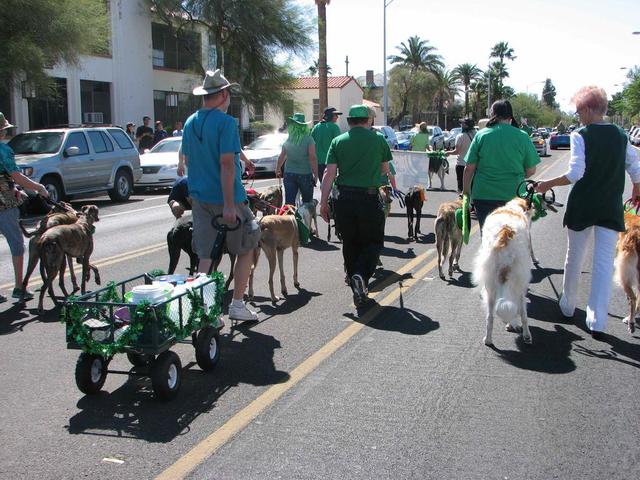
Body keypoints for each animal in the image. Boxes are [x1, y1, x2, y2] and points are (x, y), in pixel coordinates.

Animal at [472, 198, 532, 344]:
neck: (513, 208)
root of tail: (505, 235)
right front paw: (512, 324)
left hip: (490, 284)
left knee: (490, 317)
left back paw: (488, 340)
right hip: (520, 282)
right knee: (522, 312)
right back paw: (527, 335)